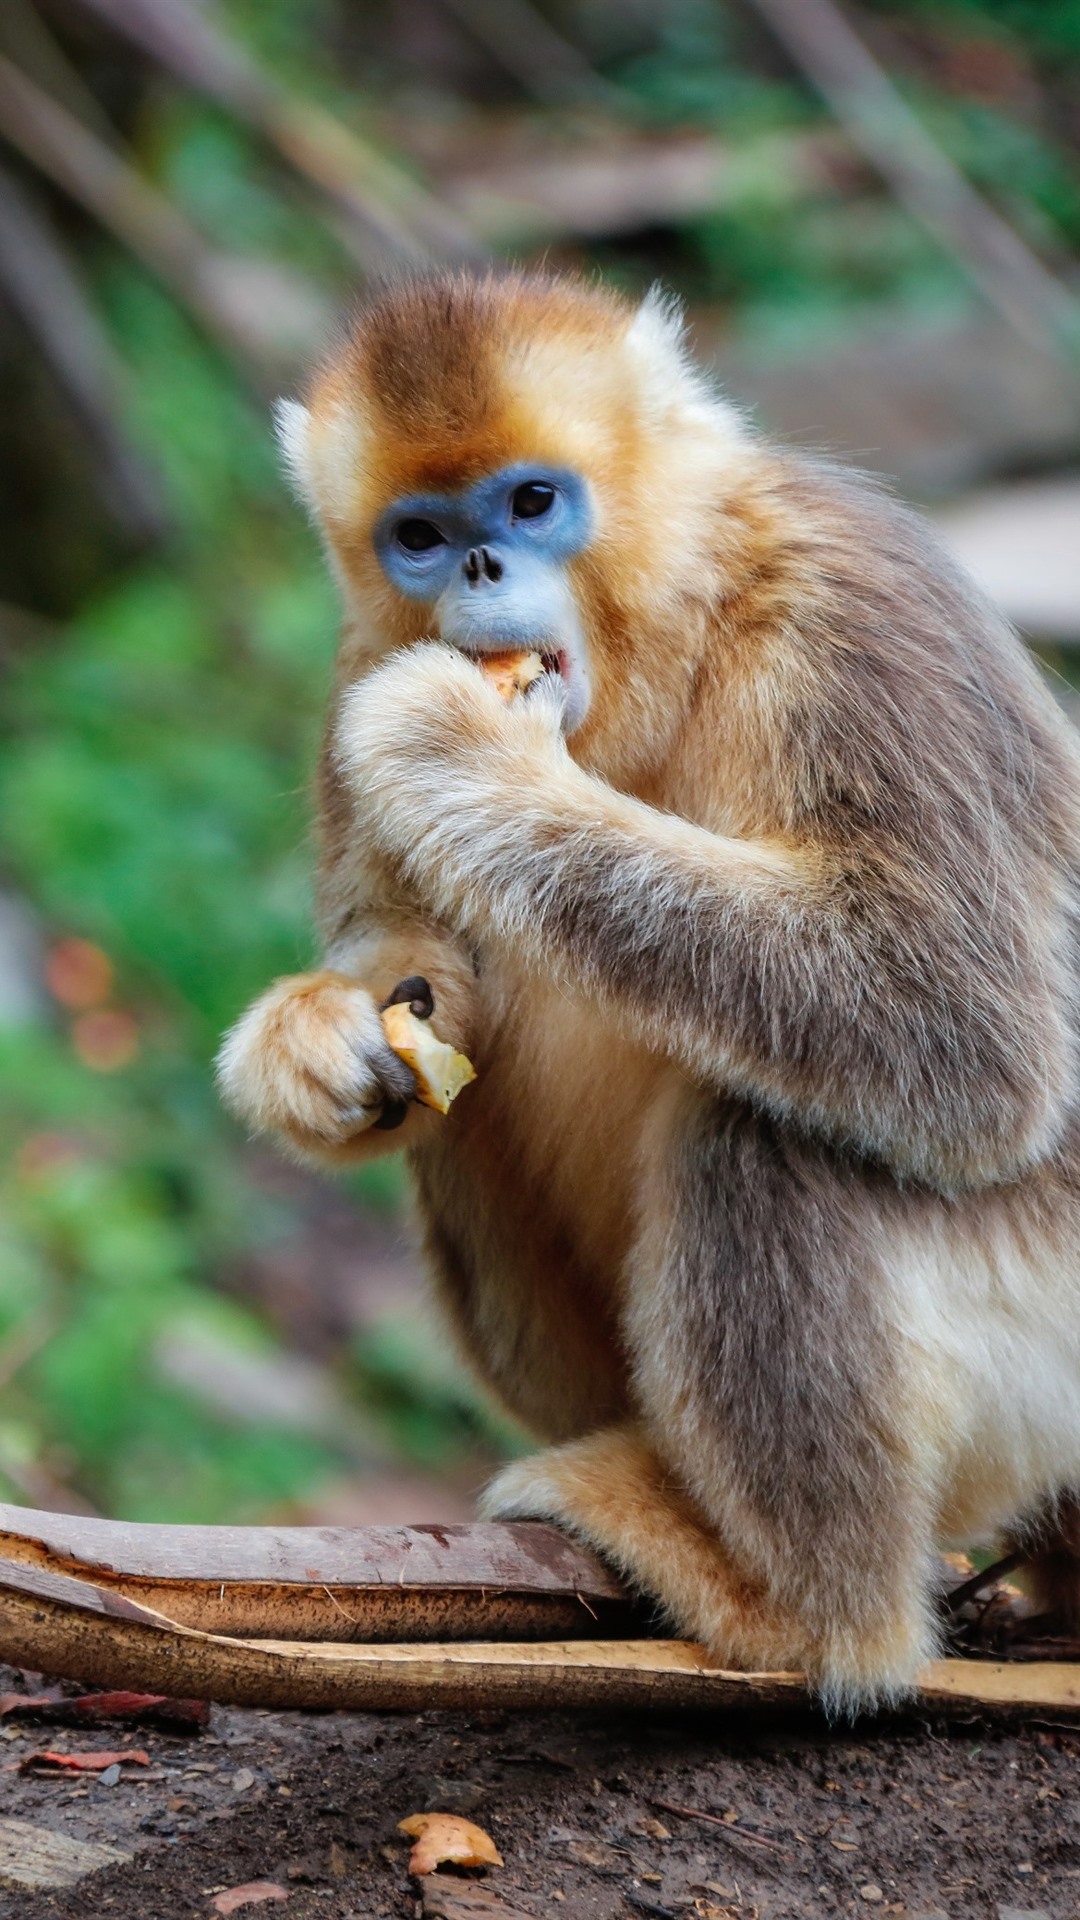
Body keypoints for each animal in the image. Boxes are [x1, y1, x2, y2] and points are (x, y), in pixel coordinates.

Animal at [217, 268, 1080, 1710]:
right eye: (419, 535)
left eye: (530, 503)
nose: (480, 569)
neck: (665, 647)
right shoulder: (359, 661)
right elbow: (423, 972)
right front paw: (314, 1044)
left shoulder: (849, 604)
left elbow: (967, 1042)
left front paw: (461, 757)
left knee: (758, 1140)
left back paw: (807, 1621)